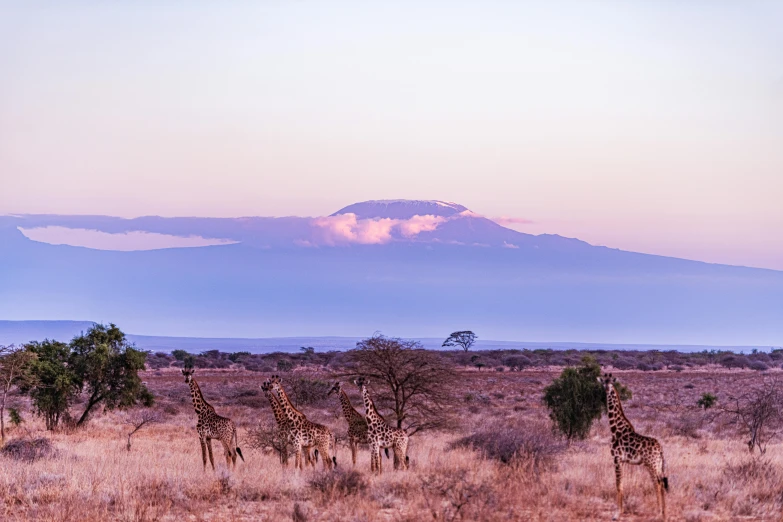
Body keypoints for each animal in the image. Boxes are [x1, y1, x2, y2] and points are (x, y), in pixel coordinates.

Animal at [600, 372, 668, 516]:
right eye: (603, 382)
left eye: (611, 383)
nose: (607, 389)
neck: (615, 429)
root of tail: (660, 449)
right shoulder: (622, 461)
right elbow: (622, 484)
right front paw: (621, 510)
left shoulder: (616, 458)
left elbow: (618, 484)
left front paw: (617, 513)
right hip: (658, 465)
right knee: (661, 483)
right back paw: (664, 511)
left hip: (651, 464)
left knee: (657, 484)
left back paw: (658, 510)